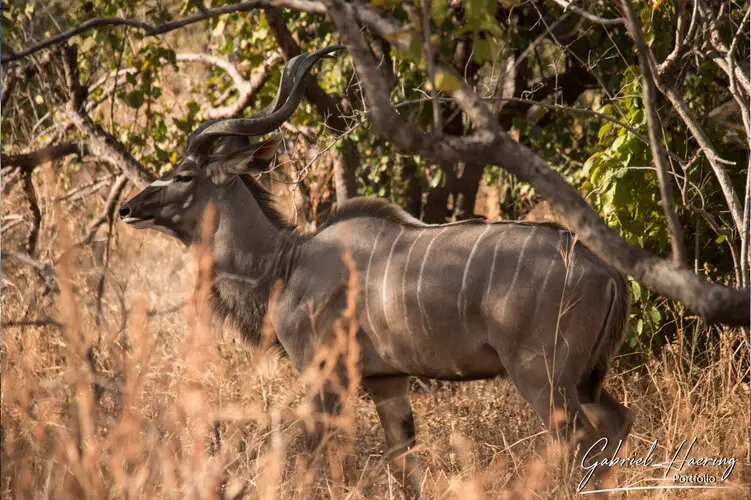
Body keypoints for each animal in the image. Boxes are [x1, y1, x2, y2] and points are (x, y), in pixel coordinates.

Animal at [122, 46, 636, 496]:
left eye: (184, 175)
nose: (128, 208)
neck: (285, 263)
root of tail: (605, 271)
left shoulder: (324, 374)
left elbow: (319, 457)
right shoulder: (388, 381)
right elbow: (402, 459)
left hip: (542, 378)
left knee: (579, 440)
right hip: (584, 379)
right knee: (617, 423)